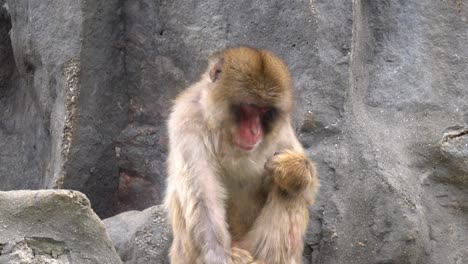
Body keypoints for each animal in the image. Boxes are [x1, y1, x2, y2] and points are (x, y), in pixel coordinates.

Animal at [164, 46, 318, 262]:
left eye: (264, 111)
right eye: (249, 107)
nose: (255, 131)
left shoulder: (280, 130)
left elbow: (309, 191)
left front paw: (293, 170)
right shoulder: (187, 120)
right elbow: (202, 198)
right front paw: (218, 255)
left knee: (291, 193)